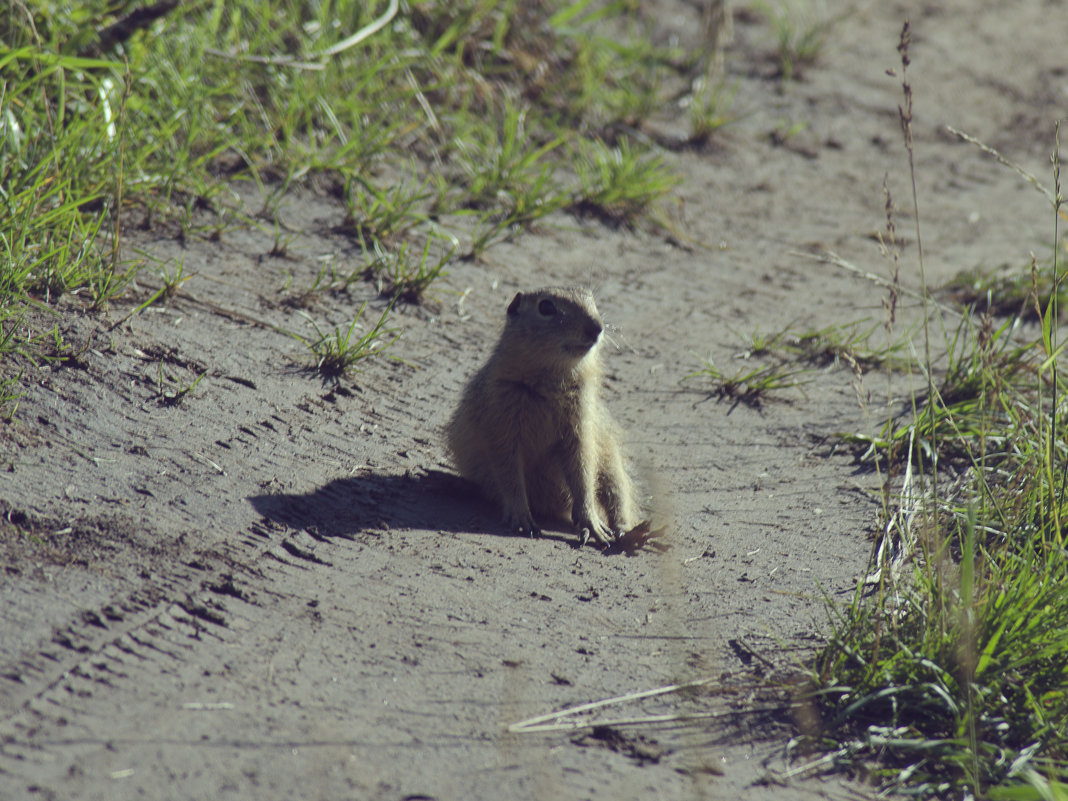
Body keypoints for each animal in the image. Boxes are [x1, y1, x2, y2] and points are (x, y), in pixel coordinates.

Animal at [446, 286, 636, 546]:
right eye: (545, 307)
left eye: (593, 300)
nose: (597, 328)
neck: (551, 382)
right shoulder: (501, 423)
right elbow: (509, 473)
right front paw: (521, 518)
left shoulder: (581, 429)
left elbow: (583, 474)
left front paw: (592, 524)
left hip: (612, 462)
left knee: (618, 494)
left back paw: (626, 532)